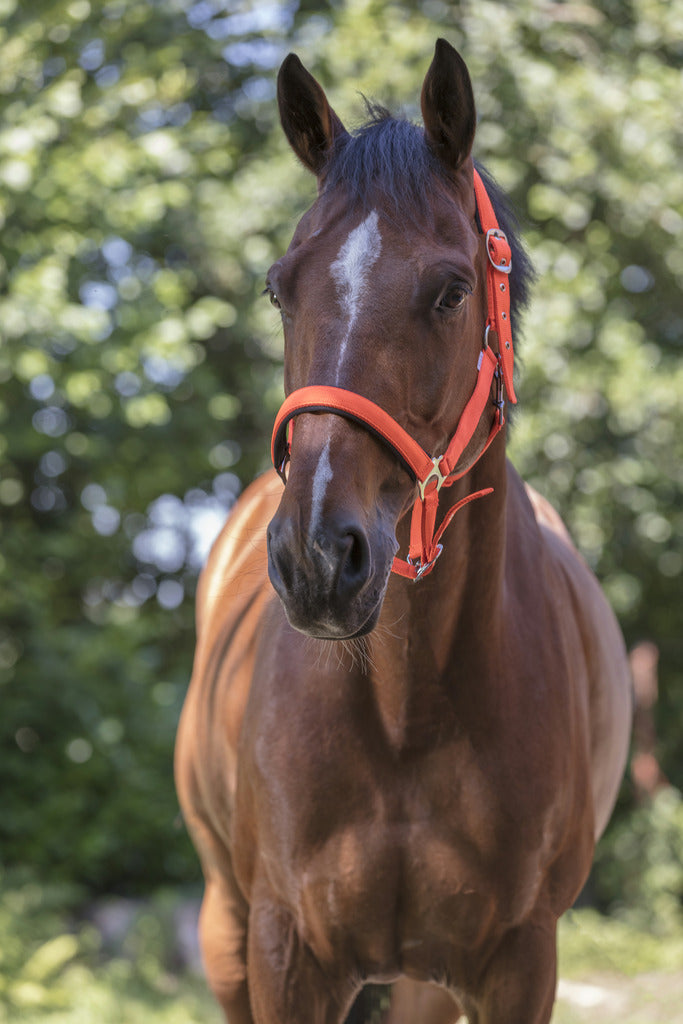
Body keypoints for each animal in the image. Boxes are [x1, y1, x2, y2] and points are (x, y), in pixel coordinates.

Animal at [175, 37, 630, 1024]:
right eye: (279, 289)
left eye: (451, 292)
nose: (316, 557)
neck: (405, 713)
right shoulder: (283, 952)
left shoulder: (517, 963)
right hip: (225, 927)